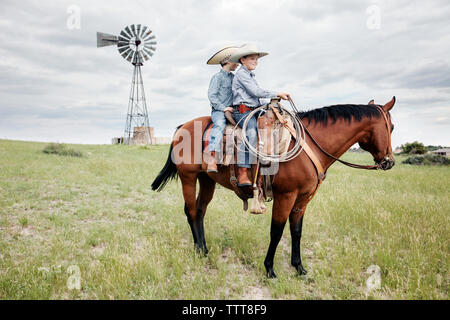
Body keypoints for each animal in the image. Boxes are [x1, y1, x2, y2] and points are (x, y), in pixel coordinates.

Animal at [150, 95, 394, 278]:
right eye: (391, 126)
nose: (389, 162)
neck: (307, 144)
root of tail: (182, 127)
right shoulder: (286, 195)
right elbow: (276, 231)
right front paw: (269, 269)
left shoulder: (304, 198)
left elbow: (296, 231)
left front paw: (299, 267)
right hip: (188, 178)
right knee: (191, 211)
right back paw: (199, 251)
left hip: (207, 179)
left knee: (201, 211)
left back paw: (204, 249)